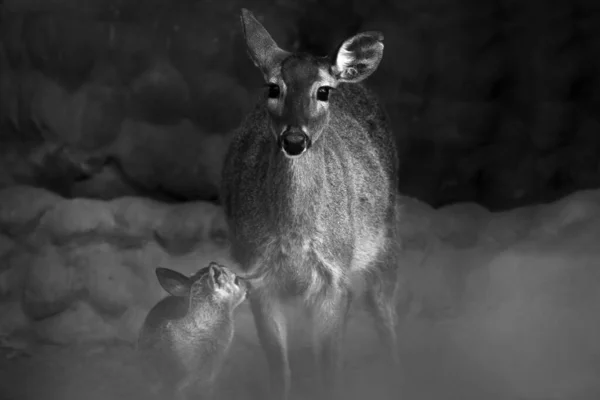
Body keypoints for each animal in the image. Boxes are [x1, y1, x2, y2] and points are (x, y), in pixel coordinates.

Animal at [220, 8, 404, 400]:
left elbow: (329, 370)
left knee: (384, 312)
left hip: (387, 238)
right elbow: (279, 368)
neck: (294, 238)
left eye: (323, 90)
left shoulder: (335, 275)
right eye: (273, 88)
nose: (294, 138)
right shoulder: (257, 275)